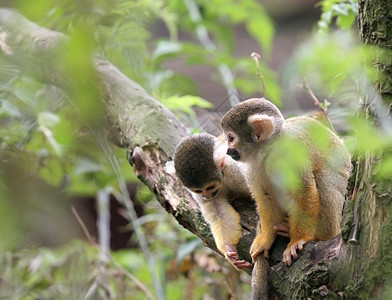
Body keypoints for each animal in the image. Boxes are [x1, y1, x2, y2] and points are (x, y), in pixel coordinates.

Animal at [173, 134, 253, 270]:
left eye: (210, 187)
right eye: (199, 190)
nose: (207, 196)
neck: (224, 175)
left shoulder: (237, 169)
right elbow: (218, 210)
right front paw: (229, 250)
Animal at [220, 97, 352, 266]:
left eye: (231, 138)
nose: (227, 151)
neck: (270, 150)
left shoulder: (290, 153)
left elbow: (305, 191)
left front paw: (297, 241)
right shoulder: (253, 166)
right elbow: (266, 196)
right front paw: (266, 239)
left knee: (324, 179)